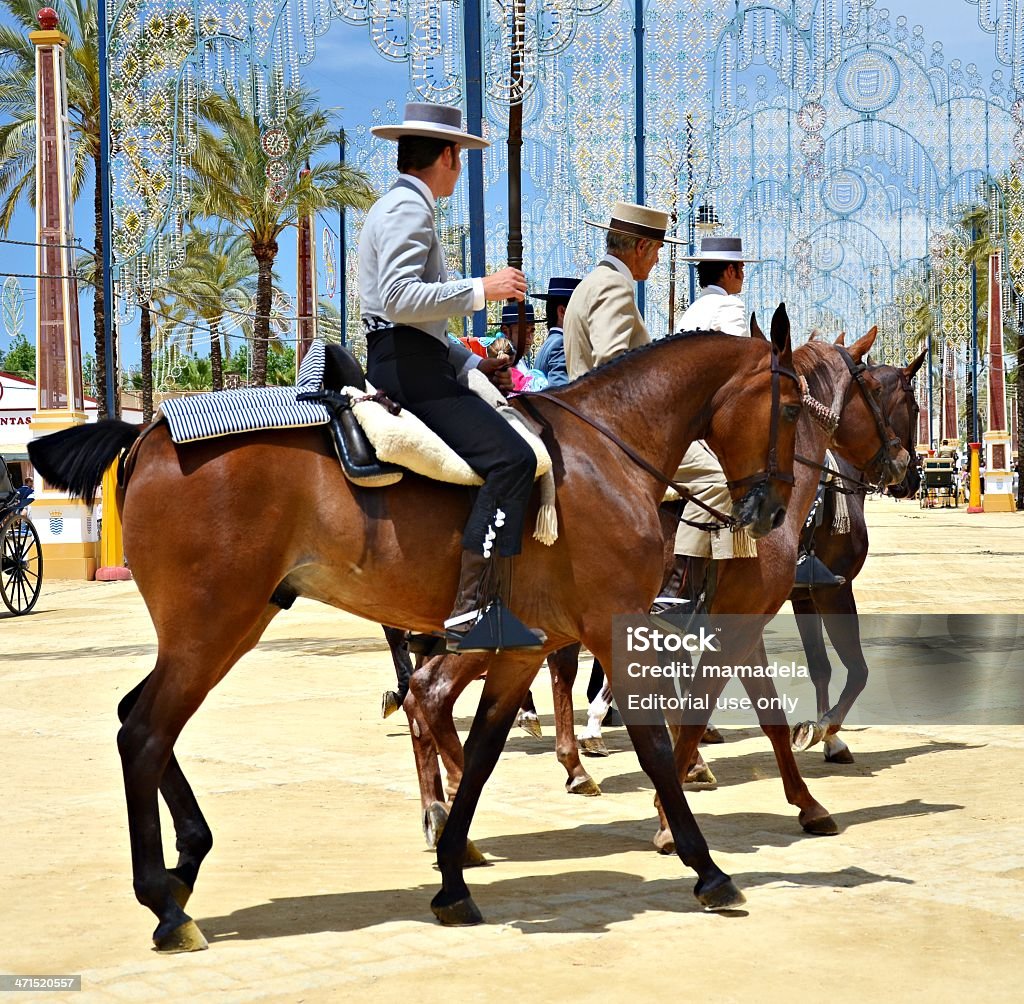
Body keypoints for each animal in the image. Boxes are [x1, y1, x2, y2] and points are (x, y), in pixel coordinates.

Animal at [29, 309, 798, 954]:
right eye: (791, 406)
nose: (772, 510)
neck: (604, 453)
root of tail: (148, 432)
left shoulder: (522, 649)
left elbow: (482, 753)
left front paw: (453, 878)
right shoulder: (609, 630)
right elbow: (655, 749)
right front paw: (707, 868)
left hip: (223, 628)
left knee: (139, 717)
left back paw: (186, 860)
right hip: (212, 627)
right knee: (145, 733)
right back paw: (165, 902)